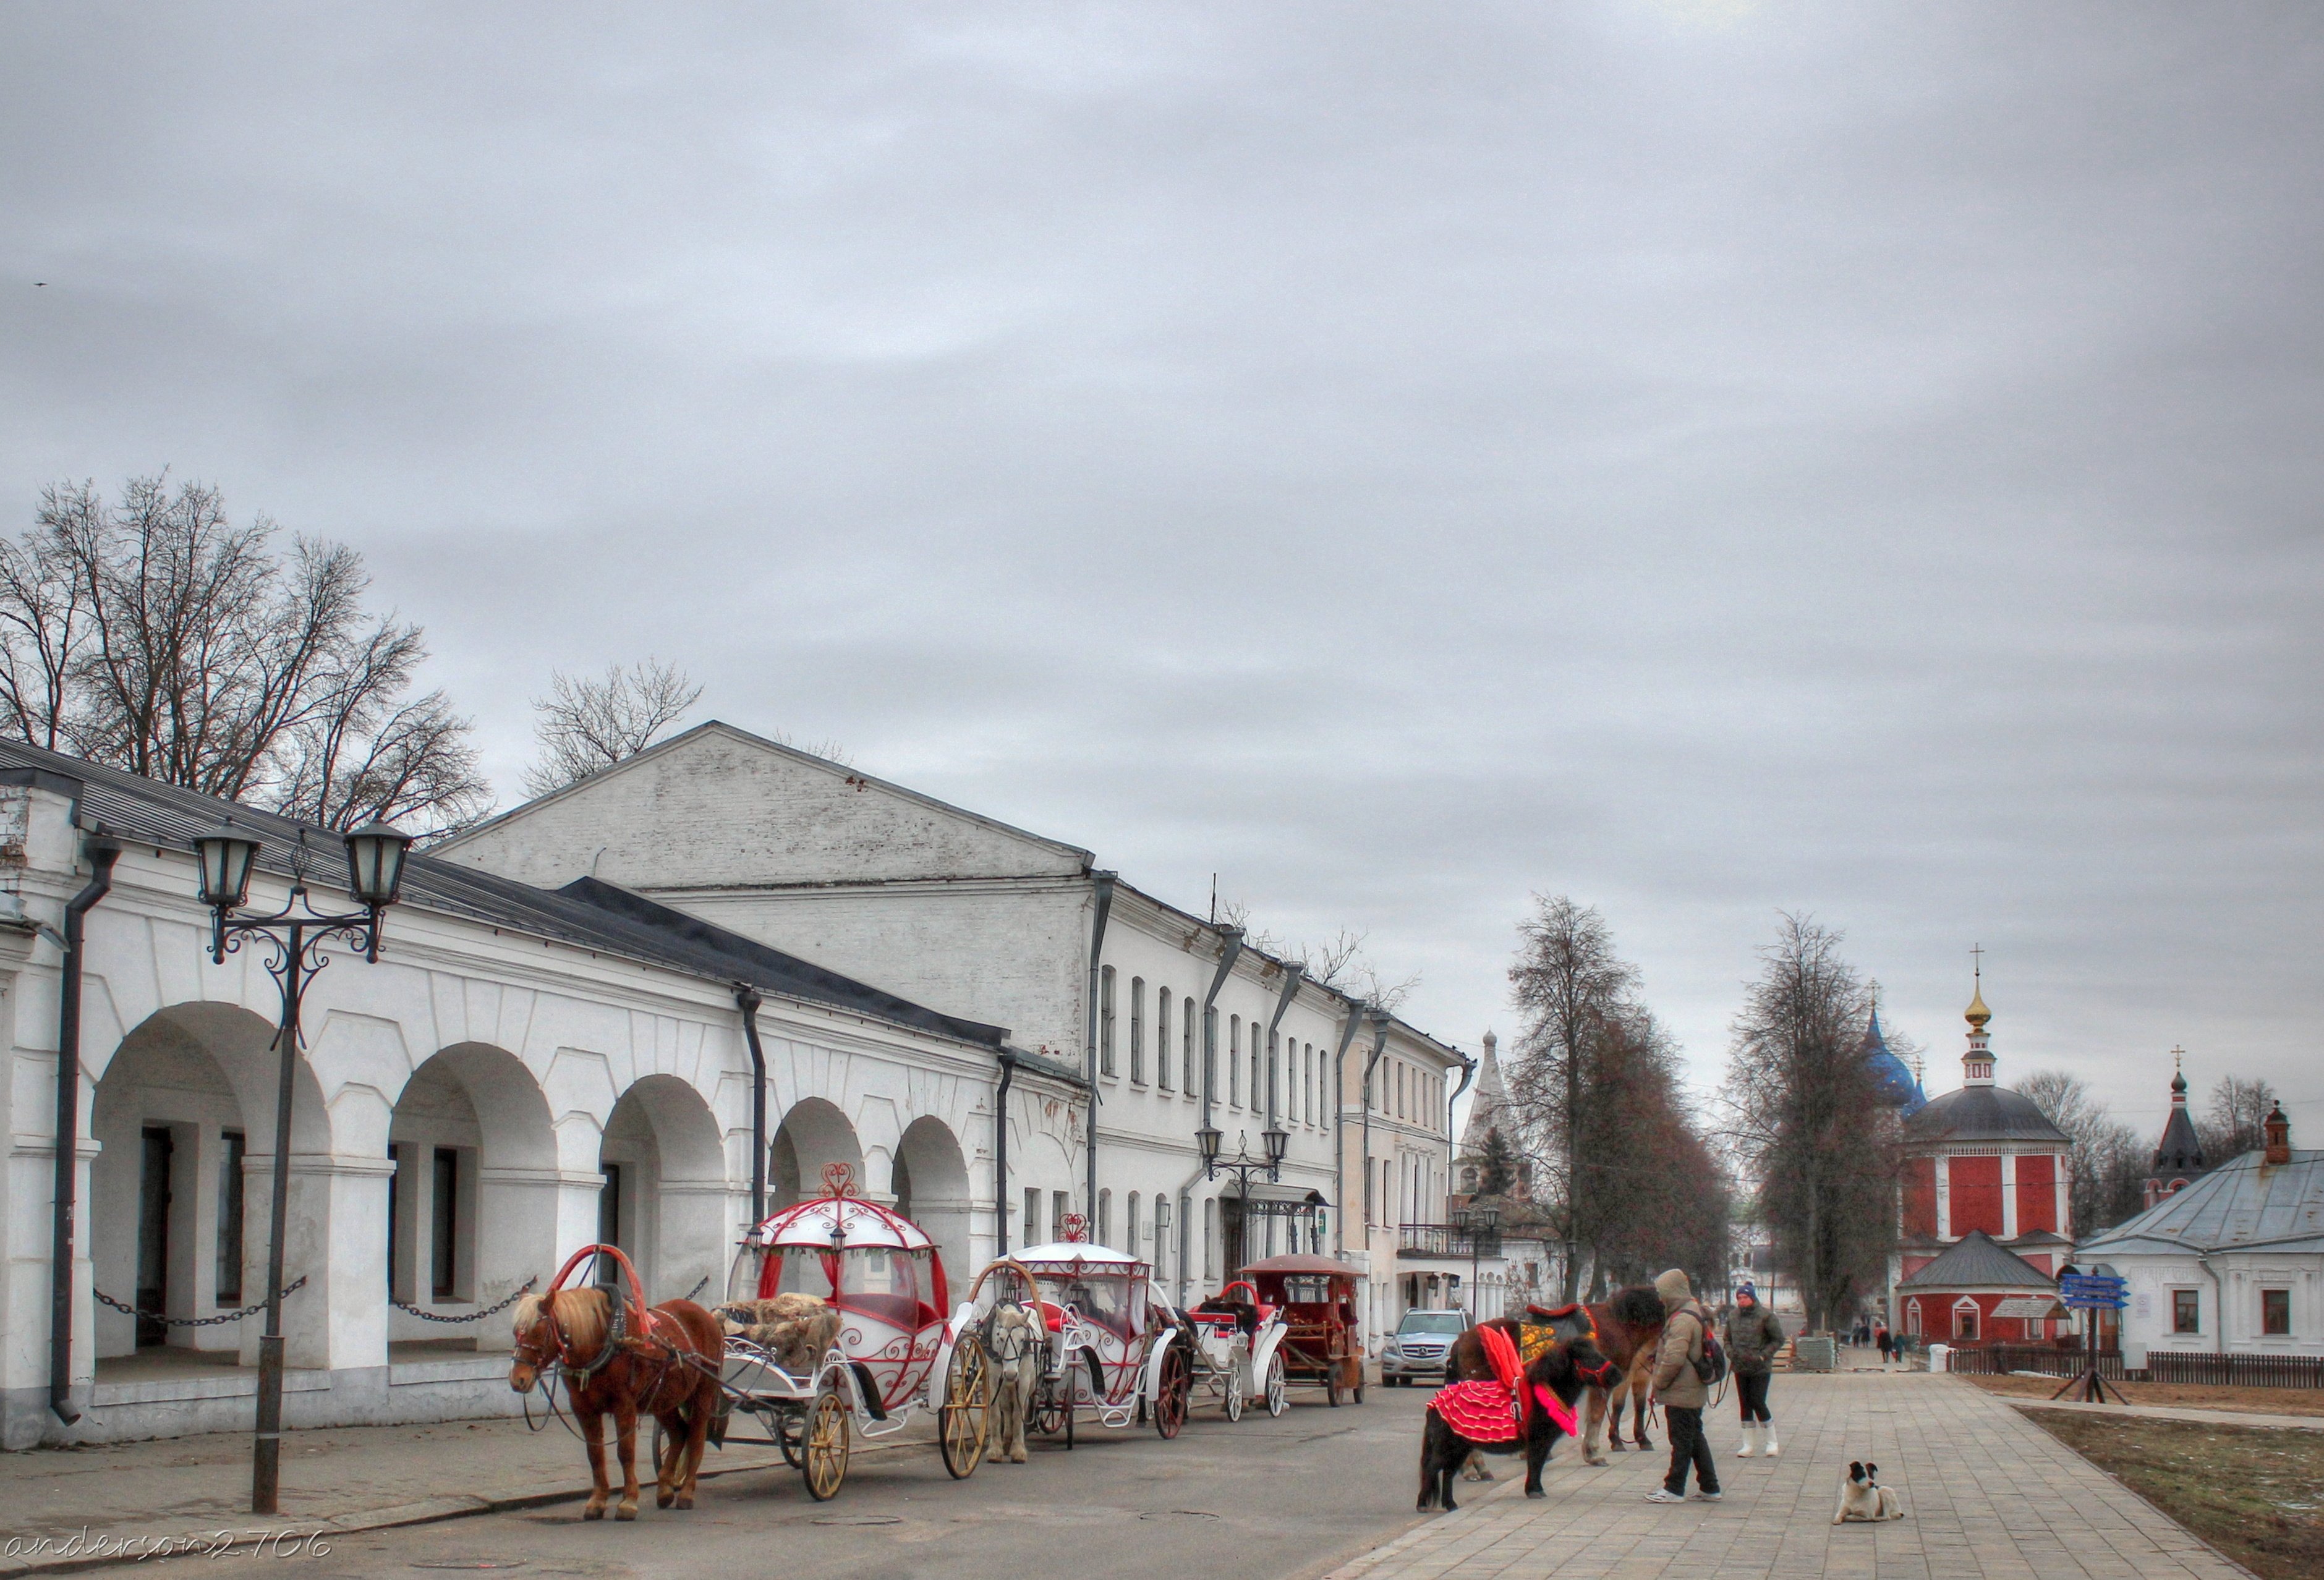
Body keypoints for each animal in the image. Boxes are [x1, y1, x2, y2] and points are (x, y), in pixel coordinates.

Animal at [1413, 1310, 1617, 1514]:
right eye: (1587, 1357)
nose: (1616, 1375)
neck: (1544, 1393)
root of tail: (1435, 1404)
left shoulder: (1544, 1441)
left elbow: (1538, 1464)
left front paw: (1537, 1490)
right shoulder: (1538, 1439)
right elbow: (1535, 1463)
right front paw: (1534, 1491)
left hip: (1460, 1448)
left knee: (1447, 1472)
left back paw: (1451, 1505)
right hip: (1447, 1446)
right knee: (1432, 1469)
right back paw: (1424, 1504)